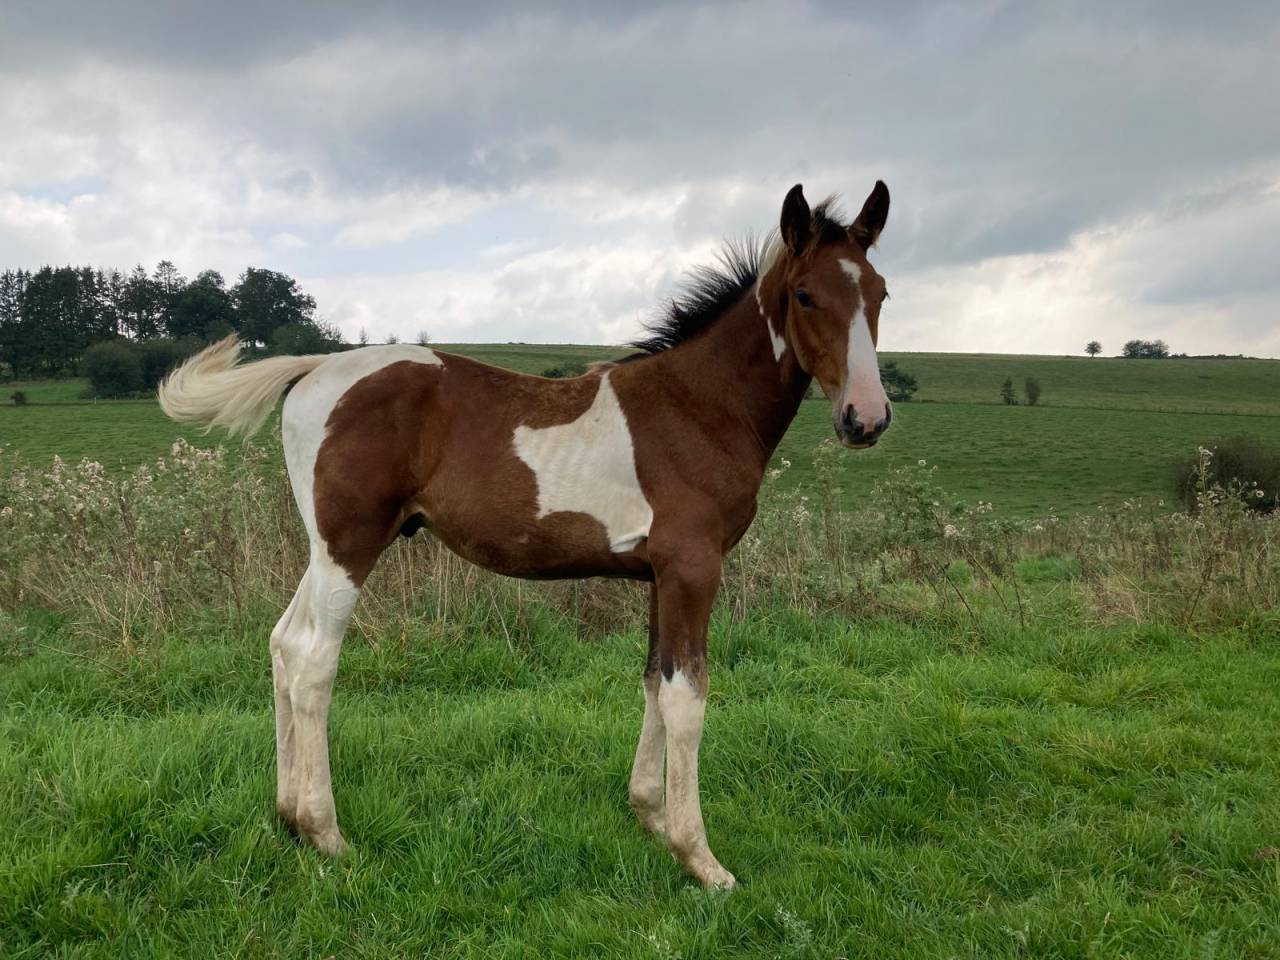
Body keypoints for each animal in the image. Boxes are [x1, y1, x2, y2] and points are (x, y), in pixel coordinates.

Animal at [158, 180, 893, 889]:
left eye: (881, 294)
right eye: (805, 295)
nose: (867, 418)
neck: (697, 408)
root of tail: (312, 370)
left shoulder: (659, 575)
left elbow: (653, 682)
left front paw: (651, 818)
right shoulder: (693, 567)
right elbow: (688, 696)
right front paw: (701, 860)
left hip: (323, 552)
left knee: (283, 645)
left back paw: (287, 818)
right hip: (349, 547)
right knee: (314, 661)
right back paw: (326, 833)